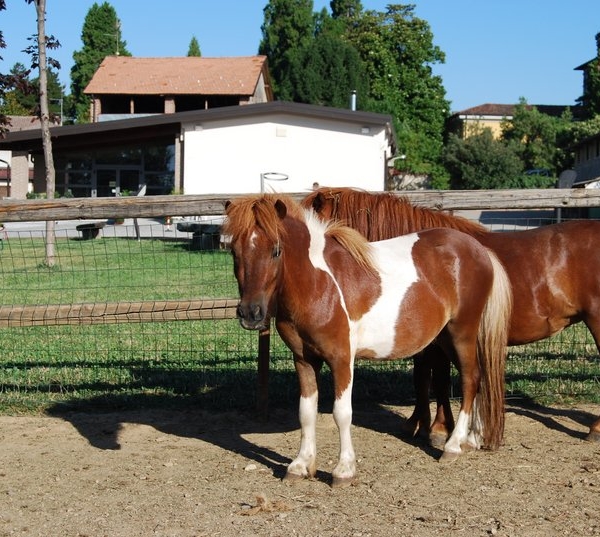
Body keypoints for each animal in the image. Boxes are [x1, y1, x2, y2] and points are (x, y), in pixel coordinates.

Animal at [225, 194, 510, 486]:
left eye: (276, 250)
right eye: (233, 251)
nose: (250, 313)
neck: (318, 284)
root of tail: (479, 249)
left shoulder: (341, 359)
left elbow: (342, 413)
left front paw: (343, 470)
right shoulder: (304, 359)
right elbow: (306, 412)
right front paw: (301, 465)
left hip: (461, 333)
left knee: (470, 379)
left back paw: (453, 446)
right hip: (444, 338)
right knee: (478, 378)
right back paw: (471, 440)